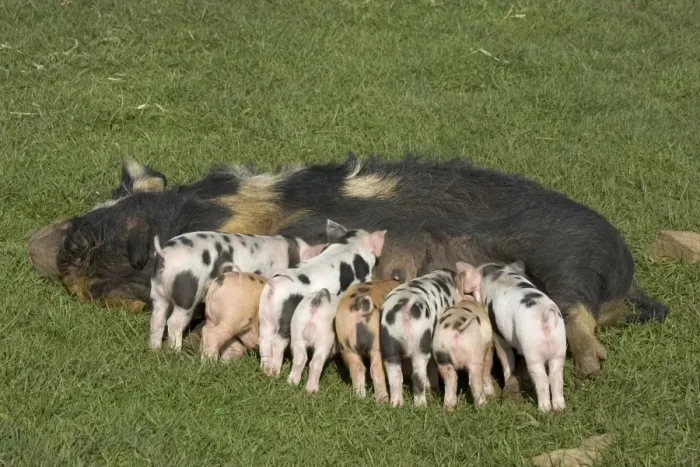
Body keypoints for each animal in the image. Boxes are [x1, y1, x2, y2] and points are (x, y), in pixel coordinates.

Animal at [149, 230, 324, 351]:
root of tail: (164, 254)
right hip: (187, 291)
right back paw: (176, 351)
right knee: (174, 321)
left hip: (158, 291)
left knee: (157, 318)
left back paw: (154, 349)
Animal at [258, 220, 386, 377]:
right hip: (285, 319)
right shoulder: (361, 277)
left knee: (264, 339)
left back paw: (264, 369)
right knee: (278, 341)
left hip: (265, 315)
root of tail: (274, 287)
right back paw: (274, 373)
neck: (350, 244)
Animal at [379, 269, 461, 407]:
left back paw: (396, 405)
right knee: (418, 376)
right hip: (421, 344)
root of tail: (405, 310)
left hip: (389, 345)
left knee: (395, 377)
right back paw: (421, 406)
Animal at [458, 260, 567, 412]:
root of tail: (545, 316)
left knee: (543, 379)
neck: (495, 273)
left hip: (532, 348)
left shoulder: (499, 336)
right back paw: (559, 408)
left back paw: (543, 410)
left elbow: (505, 357)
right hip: (560, 344)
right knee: (556, 377)